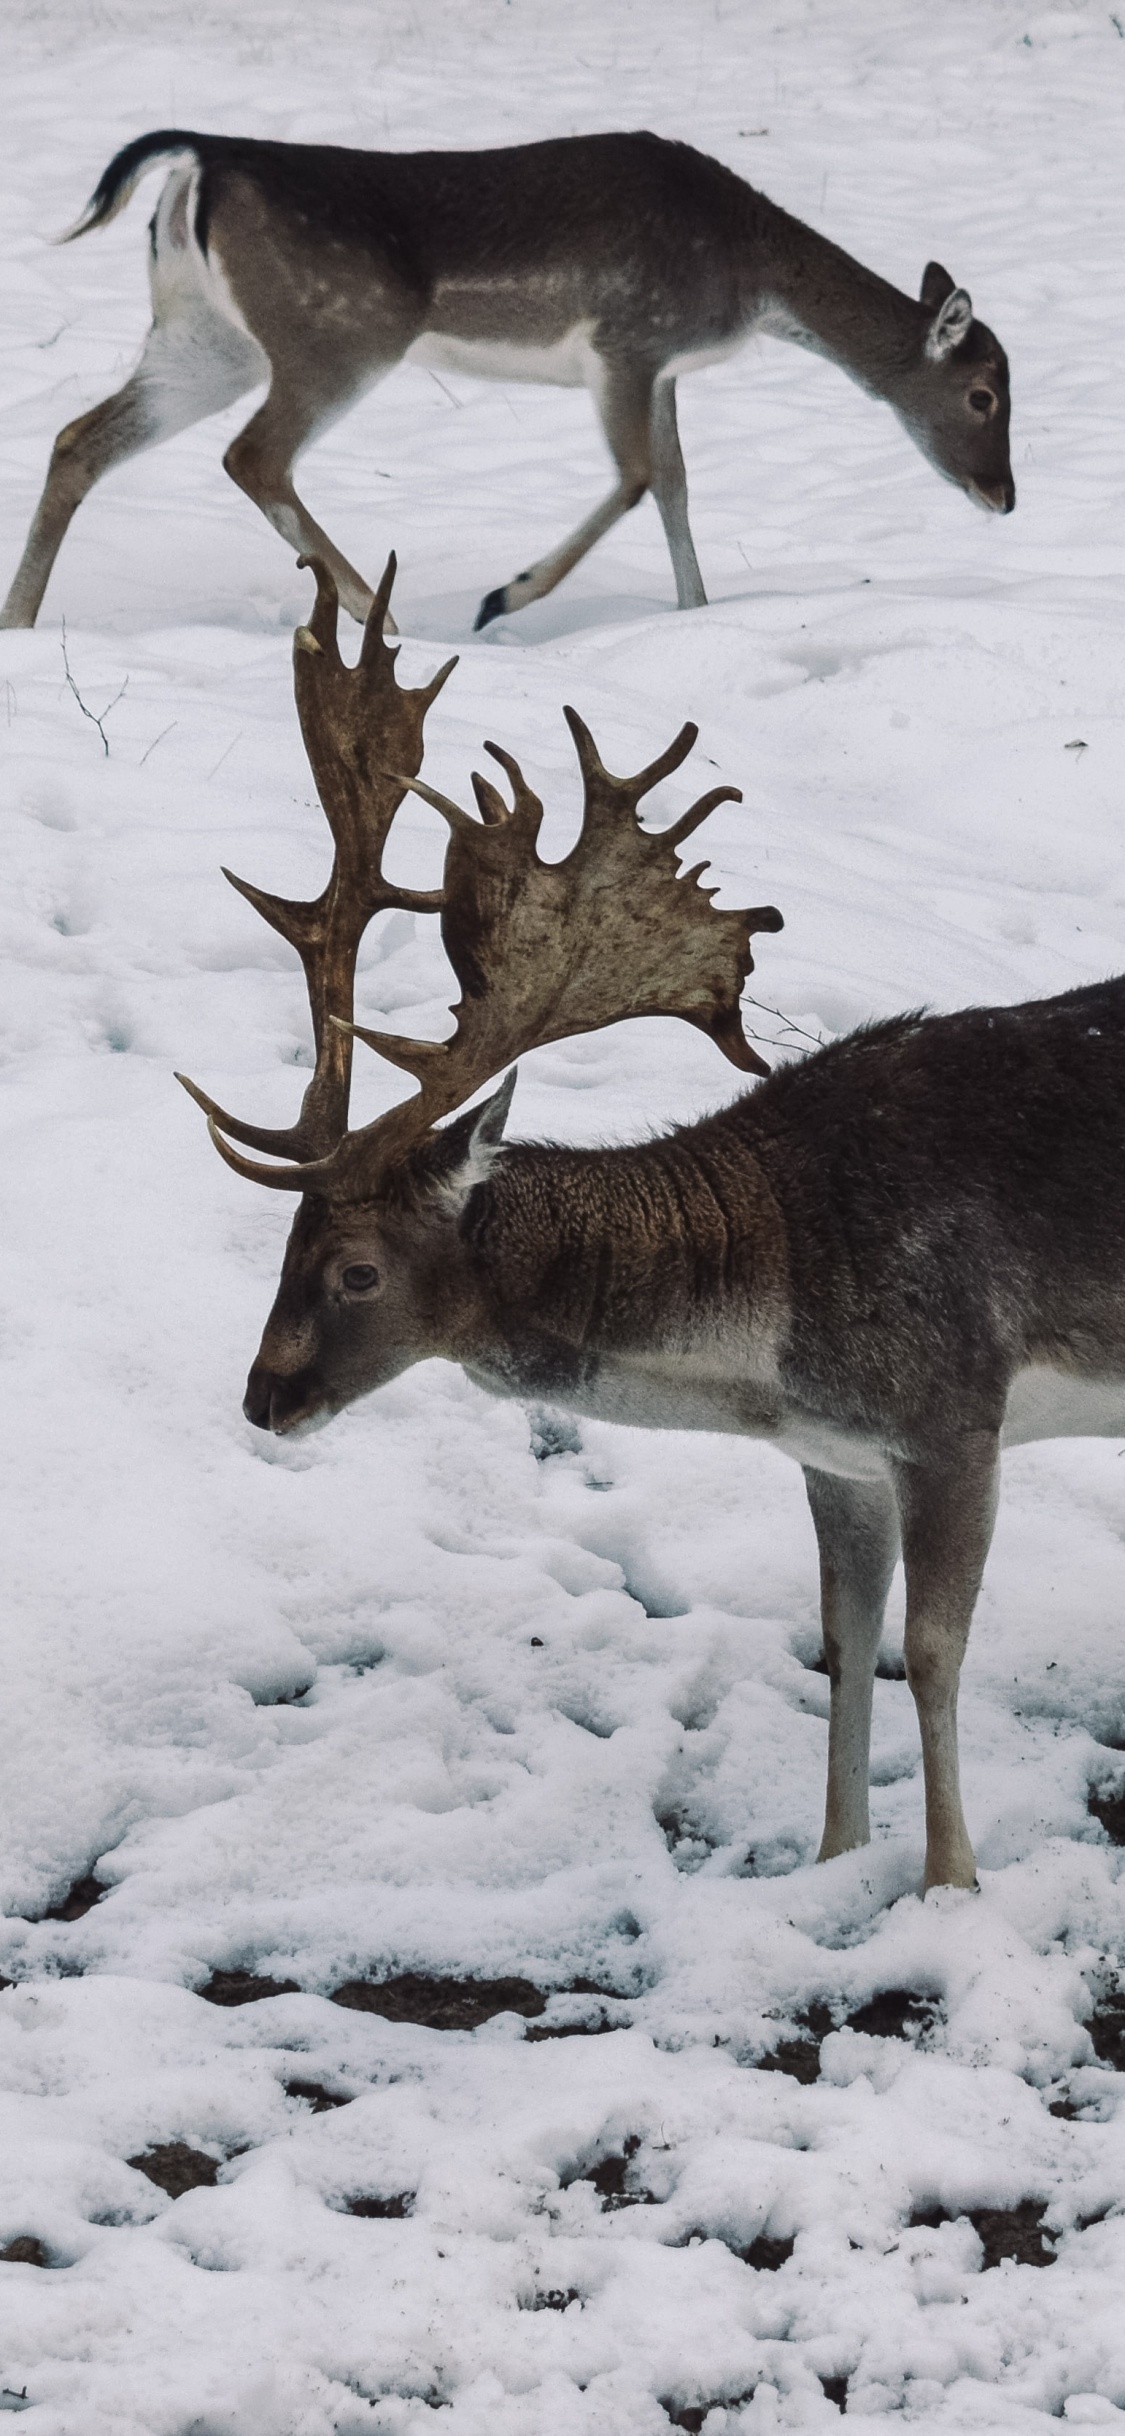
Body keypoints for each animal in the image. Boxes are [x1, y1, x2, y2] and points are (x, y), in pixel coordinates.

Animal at [0, 128, 1014, 635]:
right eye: (983, 396)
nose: (1003, 496)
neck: (749, 279)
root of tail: (199, 163)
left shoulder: (660, 366)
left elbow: (676, 483)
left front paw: (695, 615)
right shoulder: (626, 339)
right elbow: (638, 478)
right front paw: (505, 594)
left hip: (204, 338)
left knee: (79, 439)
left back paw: (18, 623)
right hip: (338, 336)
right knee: (254, 456)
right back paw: (383, 619)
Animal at [178, 559, 1125, 1896]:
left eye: (356, 1270)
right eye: (282, 1249)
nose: (266, 1399)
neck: (774, 1328)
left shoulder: (953, 1412)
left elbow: (934, 1651)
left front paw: (952, 1887)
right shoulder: (837, 1455)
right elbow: (845, 1641)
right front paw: (831, 1861)